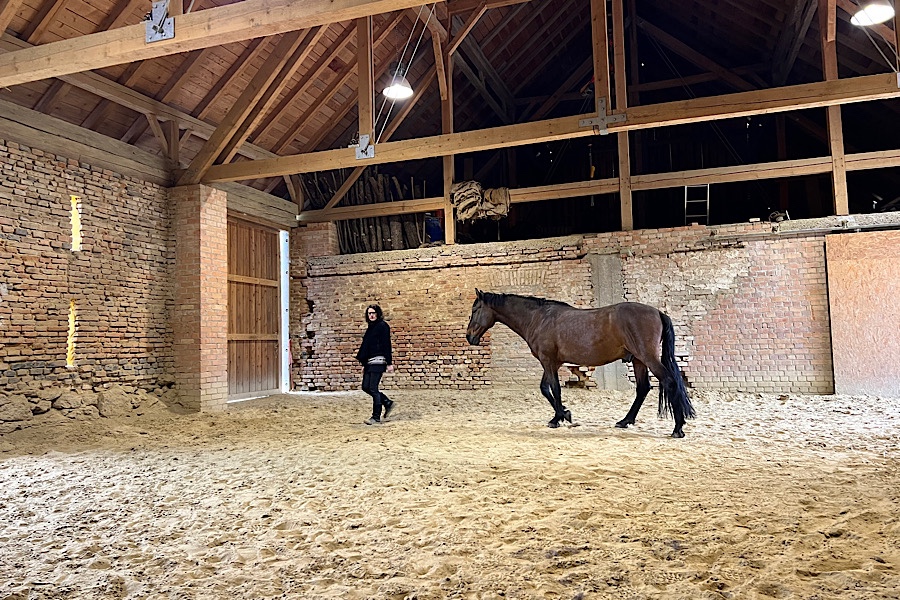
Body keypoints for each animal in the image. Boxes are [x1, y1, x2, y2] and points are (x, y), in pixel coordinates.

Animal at [464, 290, 696, 436]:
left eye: (475, 310)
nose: (469, 337)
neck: (538, 318)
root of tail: (658, 312)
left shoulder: (548, 361)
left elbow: (555, 389)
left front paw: (560, 417)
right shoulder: (553, 362)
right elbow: (545, 389)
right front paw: (562, 414)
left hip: (647, 357)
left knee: (669, 382)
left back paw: (677, 428)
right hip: (639, 360)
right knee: (643, 388)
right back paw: (625, 421)